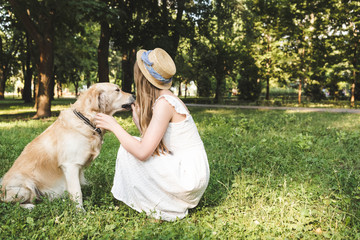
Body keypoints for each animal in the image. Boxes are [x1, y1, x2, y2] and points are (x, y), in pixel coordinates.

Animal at [0, 83, 135, 210]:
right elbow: (77, 192)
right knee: (12, 204)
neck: (86, 120)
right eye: (117, 90)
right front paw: (80, 212)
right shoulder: (71, 165)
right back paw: (29, 206)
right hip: (25, 187)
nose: (134, 95)